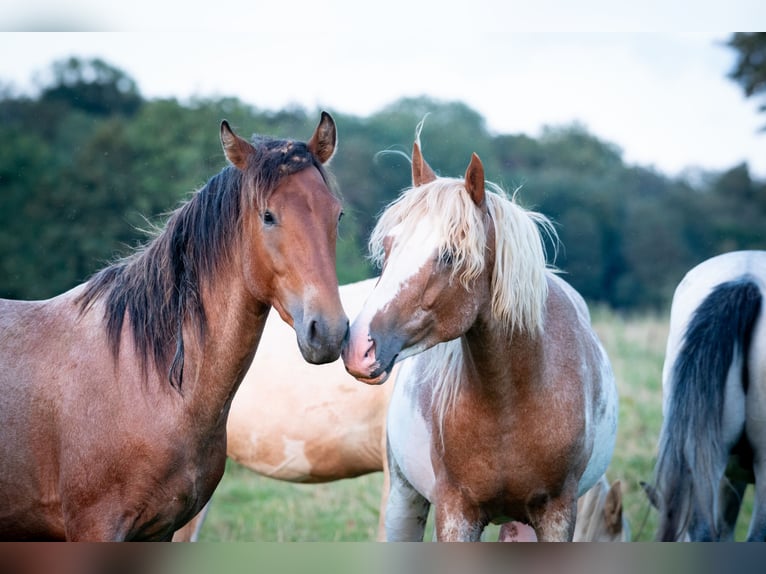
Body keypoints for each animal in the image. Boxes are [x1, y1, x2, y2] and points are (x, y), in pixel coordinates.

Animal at [0, 113, 348, 544]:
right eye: (268, 215)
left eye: (336, 214)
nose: (328, 331)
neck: (144, 375)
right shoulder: (95, 528)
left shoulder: (160, 530)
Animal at [344, 133, 620, 544]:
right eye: (390, 247)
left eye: (450, 254)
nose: (358, 346)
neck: (512, 399)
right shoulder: (456, 512)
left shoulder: (557, 513)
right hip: (403, 498)